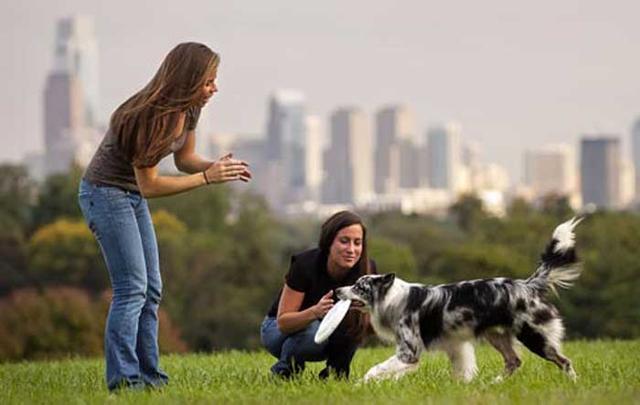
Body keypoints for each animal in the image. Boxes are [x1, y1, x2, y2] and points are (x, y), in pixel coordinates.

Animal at [340, 216, 584, 380]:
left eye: (359, 287)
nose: (337, 291)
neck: (392, 298)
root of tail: (527, 285)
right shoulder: (455, 344)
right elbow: (462, 370)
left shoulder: (409, 352)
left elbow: (375, 369)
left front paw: (362, 384)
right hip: (496, 335)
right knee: (514, 362)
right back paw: (493, 383)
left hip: (534, 336)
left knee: (564, 361)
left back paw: (572, 383)